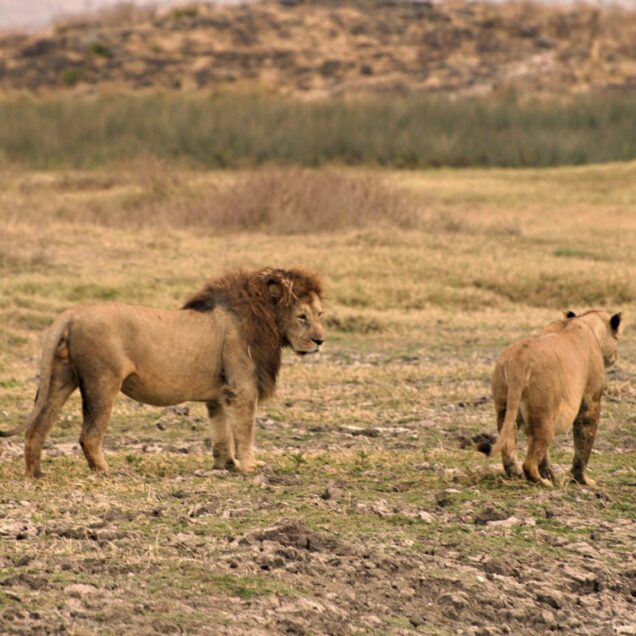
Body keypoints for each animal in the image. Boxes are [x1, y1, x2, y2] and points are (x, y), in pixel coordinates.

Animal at [0, 266, 326, 480]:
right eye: (302, 317)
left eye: (320, 314)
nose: (320, 341)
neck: (265, 319)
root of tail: (71, 314)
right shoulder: (241, 388)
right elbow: (245, 429)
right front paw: (249, 467)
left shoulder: (219, 394)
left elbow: (221, 432)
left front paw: (226, 465)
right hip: (103, 380)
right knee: (89, 435)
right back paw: (107, 472)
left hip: (60, 377)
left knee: (37, 427)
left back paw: (35, 474)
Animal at [476, 310, 620, 490]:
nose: (615, 356)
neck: (585, 322)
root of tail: (519, 360)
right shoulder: (591, 399)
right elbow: (584, 442)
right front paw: (582, 480)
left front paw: (550, 475)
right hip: (543, 415)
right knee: (529, 462)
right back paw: (542, 482)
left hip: (505, 408)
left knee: (509, 447)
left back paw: (516, 476)